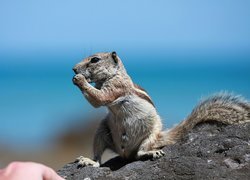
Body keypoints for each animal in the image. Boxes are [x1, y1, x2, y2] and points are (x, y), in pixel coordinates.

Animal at [72, 51, 250, 167]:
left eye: (95, 60)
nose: (73, 69)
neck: (115, 74)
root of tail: (124, 154)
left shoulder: (116, 87)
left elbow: (100, 98)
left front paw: (79, 79)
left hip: (150, 135)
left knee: (140, 153)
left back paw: (151, 153)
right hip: (102, 132)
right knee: (98, 158)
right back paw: (89, 161)